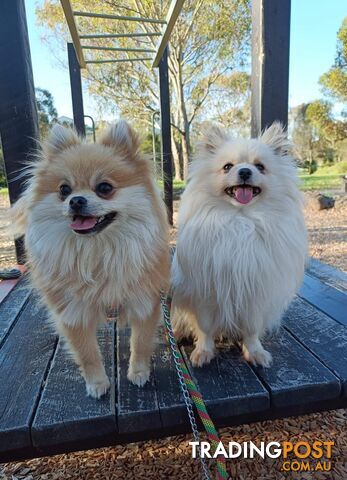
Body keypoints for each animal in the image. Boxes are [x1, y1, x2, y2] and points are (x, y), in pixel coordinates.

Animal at [12, 120, 171, 398]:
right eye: (64, 190)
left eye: (104, 188)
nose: (76, 200)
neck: (97, 252)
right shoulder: (73, 312)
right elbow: (87, 353)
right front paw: (97, 383)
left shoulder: (145, 301)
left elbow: (140, 342)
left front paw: (138, 372)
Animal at [173, 123, 308, 368]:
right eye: (227, 167)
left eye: (260, 167)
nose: (245, 171)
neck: (241, 220)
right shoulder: (206, 292)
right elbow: (205, 328)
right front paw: (203, 352)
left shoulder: (254, 294)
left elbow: (251, 330)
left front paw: (255, 352)